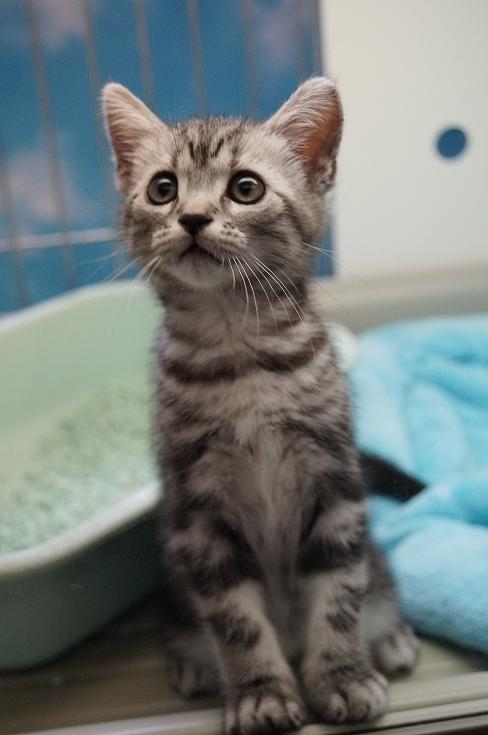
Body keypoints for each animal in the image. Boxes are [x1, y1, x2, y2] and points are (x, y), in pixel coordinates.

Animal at [102, 77, 419, 734]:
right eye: (163, 188)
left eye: (245, 188)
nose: (193, 218)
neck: (239, 358)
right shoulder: (198, 514)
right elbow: (235, 619)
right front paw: (261, 693)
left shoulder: (335, 486)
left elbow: (339, 594)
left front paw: (341, 676)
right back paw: (193, 662)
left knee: (371, 581)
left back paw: (389, 636)